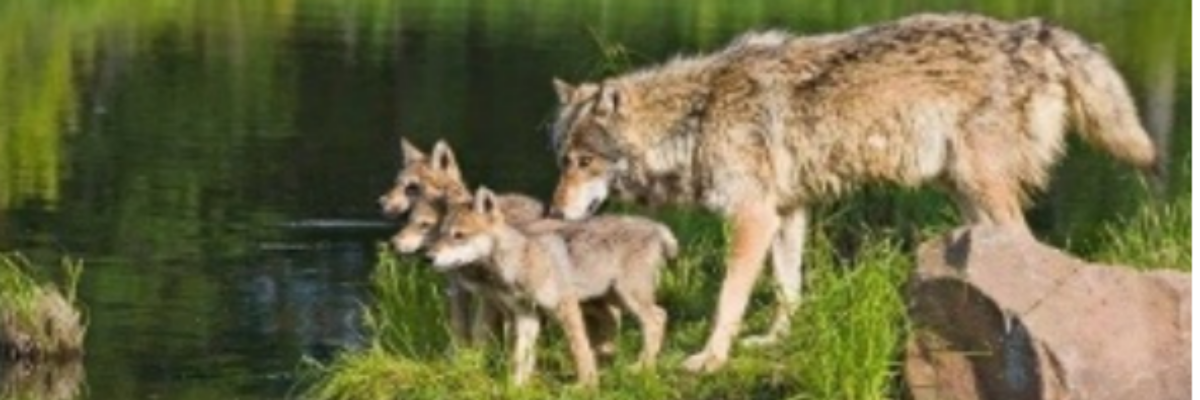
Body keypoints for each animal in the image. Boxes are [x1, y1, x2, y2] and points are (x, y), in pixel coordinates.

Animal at [427, 188, 677, 384]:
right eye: (440, 234)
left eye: (459, 235)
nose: (428, 257)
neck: (519, 262)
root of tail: (656, 226)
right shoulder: (526, 316)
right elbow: (521, 357)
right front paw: (517, 387)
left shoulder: (565, 307)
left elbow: (578, 349)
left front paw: (586, 386)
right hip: (608, 299)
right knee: (634, 319)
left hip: (627, 298)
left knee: (657, 319)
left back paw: (642, 368)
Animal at [547, 13, 1156, 372]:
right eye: (562, 161)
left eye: (584, 162)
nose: (553, 209)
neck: (695, 116)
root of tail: (1036, 32)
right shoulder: (786, 214)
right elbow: (788, 287)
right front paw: (775, 341)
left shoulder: (751, 217)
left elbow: (729, 298)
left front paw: (710, 357)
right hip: (965, 195)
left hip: (983, 188)